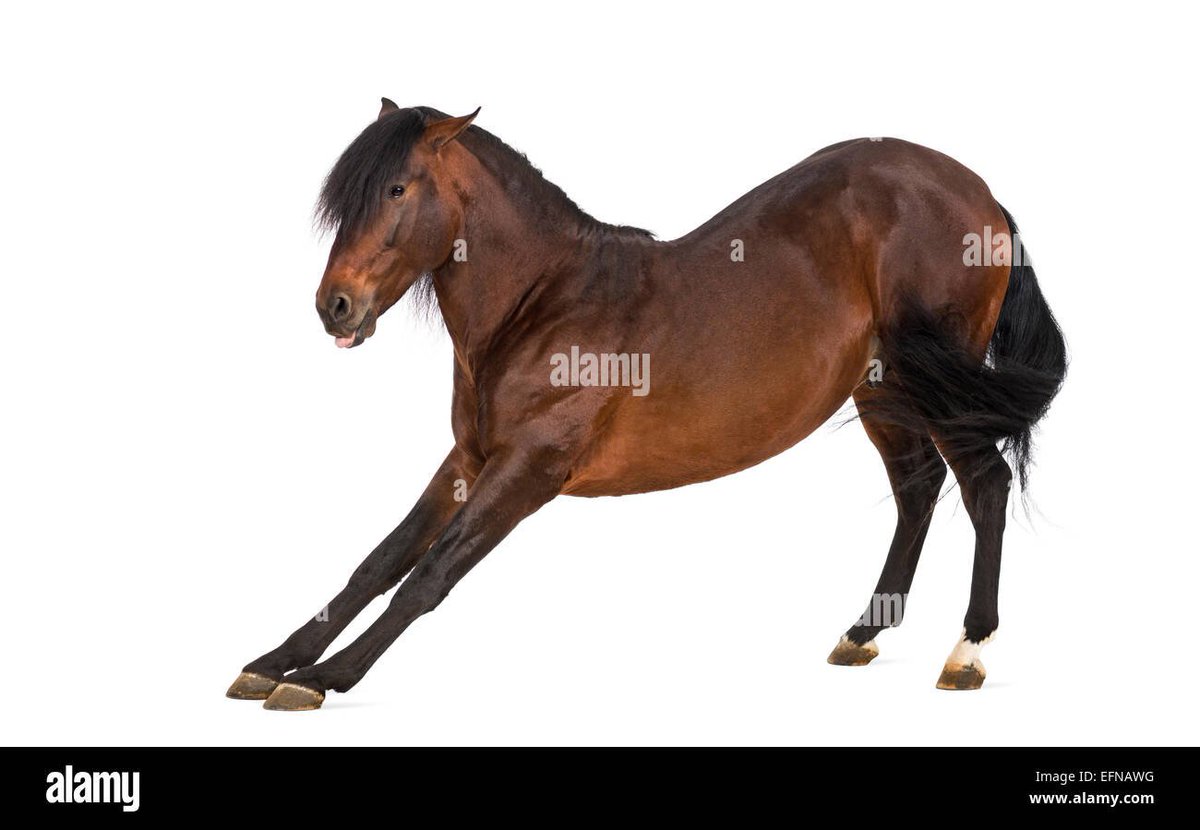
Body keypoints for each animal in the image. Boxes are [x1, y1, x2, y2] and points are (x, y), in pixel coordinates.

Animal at [227, 100, 1066, 710]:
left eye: (397, 189)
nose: (334, 307)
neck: (544, 304)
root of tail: (982, 196)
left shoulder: (529, 469)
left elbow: (429, 574)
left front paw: (324, 679)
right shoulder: (469, 460)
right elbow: (379, 561)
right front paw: (273, 662)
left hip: (941, 387)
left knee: (984, 486)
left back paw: (967, 654)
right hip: (885, 393)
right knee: (918, 491)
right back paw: (860, 635)